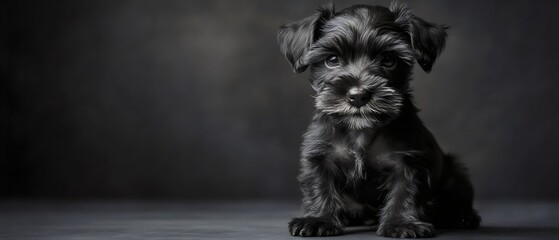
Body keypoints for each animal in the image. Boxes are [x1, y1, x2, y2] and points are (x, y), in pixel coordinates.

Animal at [278, 1, 482, 238]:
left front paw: (402, 223)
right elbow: (319, 186)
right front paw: (317, 220)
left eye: (389, 60)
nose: (358, 95)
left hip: (455, 175)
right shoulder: (320, 156)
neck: (361, 130)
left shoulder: (408, 161)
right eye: (332, 60)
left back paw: (464, 217)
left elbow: (405, 192)